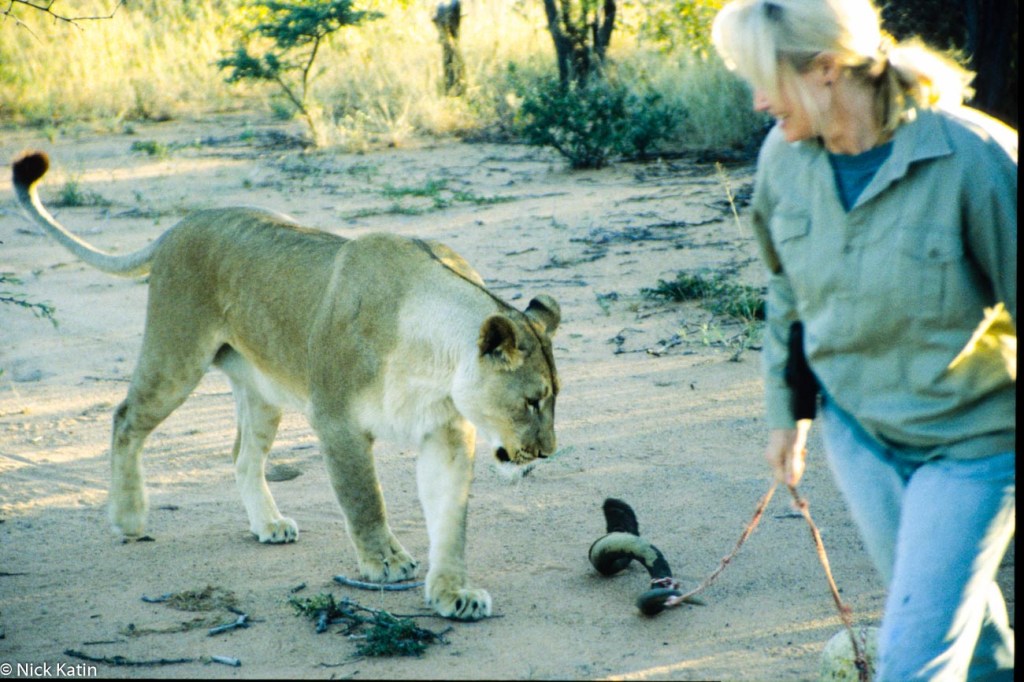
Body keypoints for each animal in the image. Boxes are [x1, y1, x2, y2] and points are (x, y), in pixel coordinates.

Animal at [11, 151, 560, 621]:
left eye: (553, 399)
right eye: (532, 401)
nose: (549, 453)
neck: (435, 359)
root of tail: (180, 225)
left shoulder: (446, 432)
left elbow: (450, 520)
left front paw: (453, 593)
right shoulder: (337, 420)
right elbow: (364, 498)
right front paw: (384, 562)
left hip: (261, 391)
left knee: (241, 456)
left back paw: (268, 525)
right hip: (175, 354)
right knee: (125, 418)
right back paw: (128, 518)